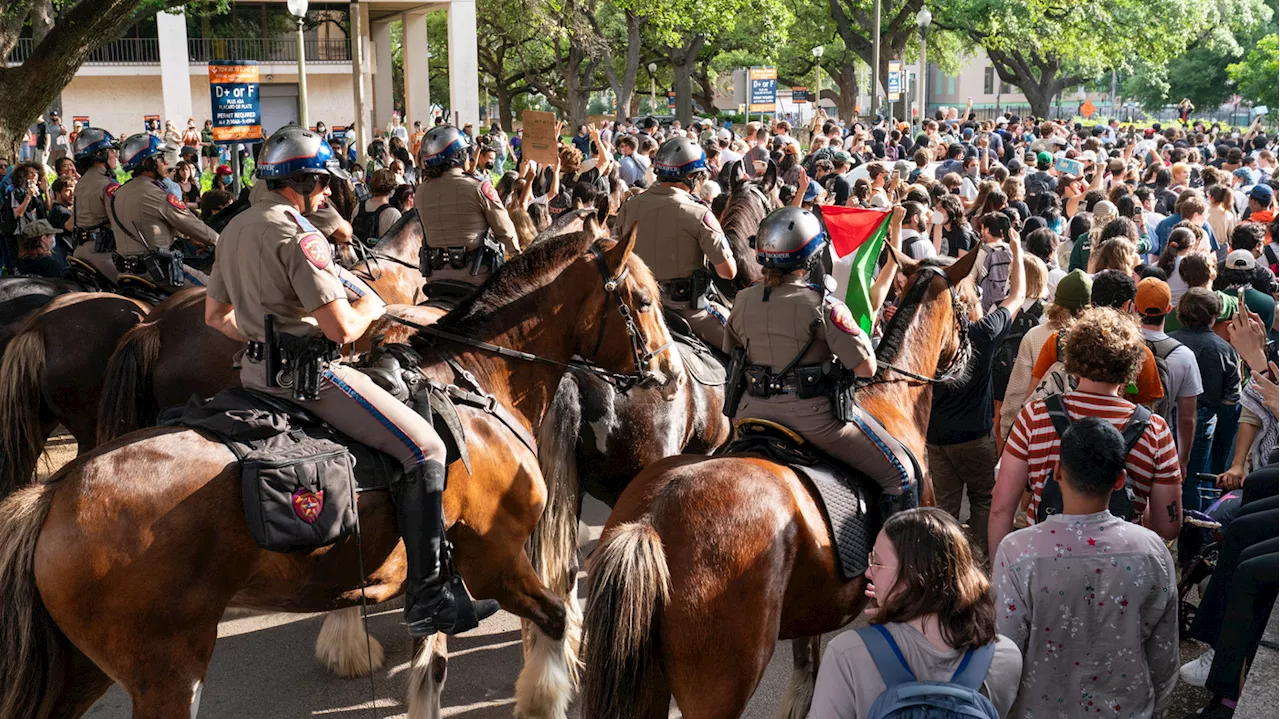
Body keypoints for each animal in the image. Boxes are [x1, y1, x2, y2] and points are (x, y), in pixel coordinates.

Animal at [0, 226, 675, 716]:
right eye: (642, 301)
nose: (669, 373)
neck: (476, 382)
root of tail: (55, 495)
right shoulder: (495, 557)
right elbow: (553, 622)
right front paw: (545, 696)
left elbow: (434, 662)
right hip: (169, 673)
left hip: (80, 671)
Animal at [581, 249, 977, 711]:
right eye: (969, 299)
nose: (971, 355)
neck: (891, 399)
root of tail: (651, 521)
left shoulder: (815, 614)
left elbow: (807, 683)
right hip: (718, 687)